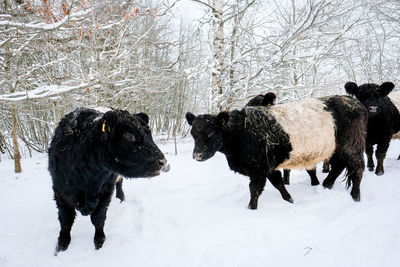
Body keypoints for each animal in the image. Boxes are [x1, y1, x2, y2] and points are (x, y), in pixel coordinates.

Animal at [48, 108, 169, 254]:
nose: (163, 162)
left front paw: (99, 241)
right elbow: (66, 220)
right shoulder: (60, 191)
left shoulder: (106, 190)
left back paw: (121, 197)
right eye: (129, 136)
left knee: (120, 184)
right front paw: (62, 244)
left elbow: (98, 219)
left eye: (149, 134)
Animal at [186, 95, 368, 210]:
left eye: (211, 133)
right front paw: (291, 200)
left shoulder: (258, 170)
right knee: (338, 166)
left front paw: (250, 210)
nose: (197, 156)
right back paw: (326, 186)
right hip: (338, 149)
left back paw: (356, 197)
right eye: (194, 133)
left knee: (357, 168)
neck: (241, 132)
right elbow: (278, 183)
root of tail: (353, 101)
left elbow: (254, 190)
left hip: (352, 146)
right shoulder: (268, 166)